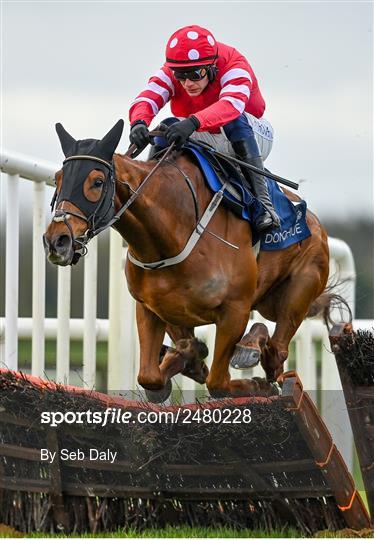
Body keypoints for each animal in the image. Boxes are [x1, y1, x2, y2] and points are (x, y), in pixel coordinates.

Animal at [43, 120, 330, 400]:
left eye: (97, 181)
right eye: (58, 178)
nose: (57, 240)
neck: (171, 234)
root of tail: (314, 222)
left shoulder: (235, 310)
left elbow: (217, 383)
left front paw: (255, 384)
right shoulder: (151, 308)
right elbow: (151, 377)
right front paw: (187, 356)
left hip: (299, 289)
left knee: (277, 351)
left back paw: (251, 352)